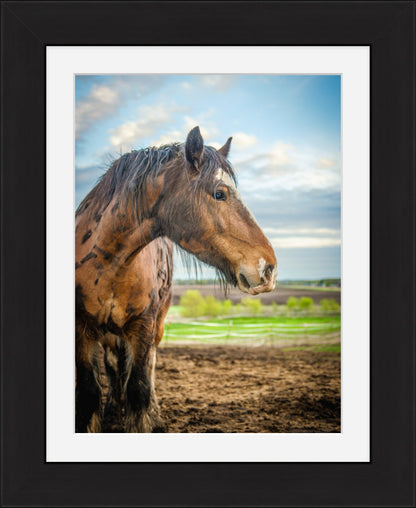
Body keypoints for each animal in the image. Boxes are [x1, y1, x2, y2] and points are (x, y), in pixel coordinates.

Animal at [75, 125, 276, 430]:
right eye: (220, 194)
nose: (269, 268)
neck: (107, 263)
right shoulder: (82, 330)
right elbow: (89, 394)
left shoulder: (143, 327)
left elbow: (139, 390)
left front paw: (147, 419)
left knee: (147, 369)